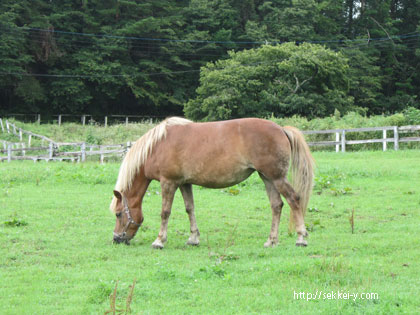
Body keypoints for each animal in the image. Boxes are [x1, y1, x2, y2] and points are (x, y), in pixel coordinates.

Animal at [110, 118, 314, 249]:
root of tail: (281, 129)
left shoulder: (168, 183)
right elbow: (189, 208)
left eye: (119, 214)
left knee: (294, 199)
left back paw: (301, 238)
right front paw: (193, 238)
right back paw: (271, 241)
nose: (117, 239)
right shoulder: (184, 183)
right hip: (267, 178)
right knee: (276, 205)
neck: (157, 146)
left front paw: (159, 241)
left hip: (277, 178)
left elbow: (165, 212)